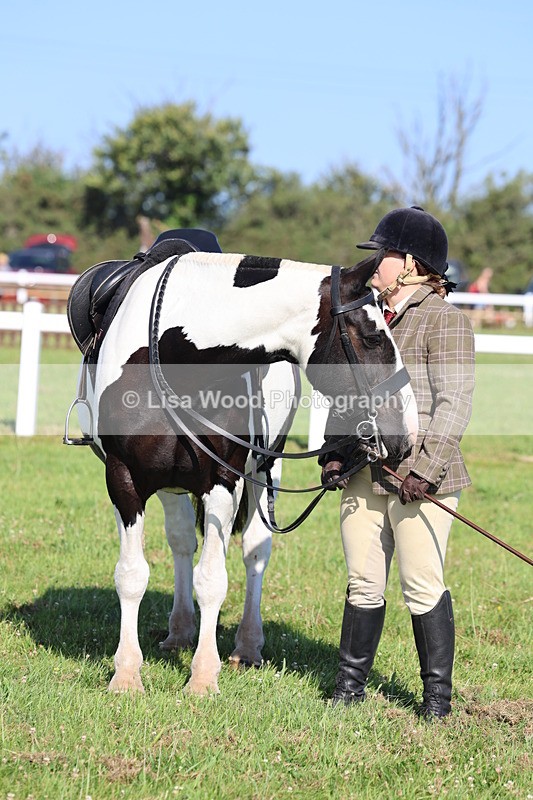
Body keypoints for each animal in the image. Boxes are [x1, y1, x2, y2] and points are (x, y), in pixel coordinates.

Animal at [67, 244, 418, 696]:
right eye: (374, 337)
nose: (407, 431)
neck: (172, 350)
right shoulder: (124, 479)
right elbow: (131, 575)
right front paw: (127, 675)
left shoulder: (224, 480)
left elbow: (213, 580)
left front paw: (202, 677)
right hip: (170, 487)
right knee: (182, 542)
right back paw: (180, 630)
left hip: (265, 471)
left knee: (255, 551)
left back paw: (247, 646)